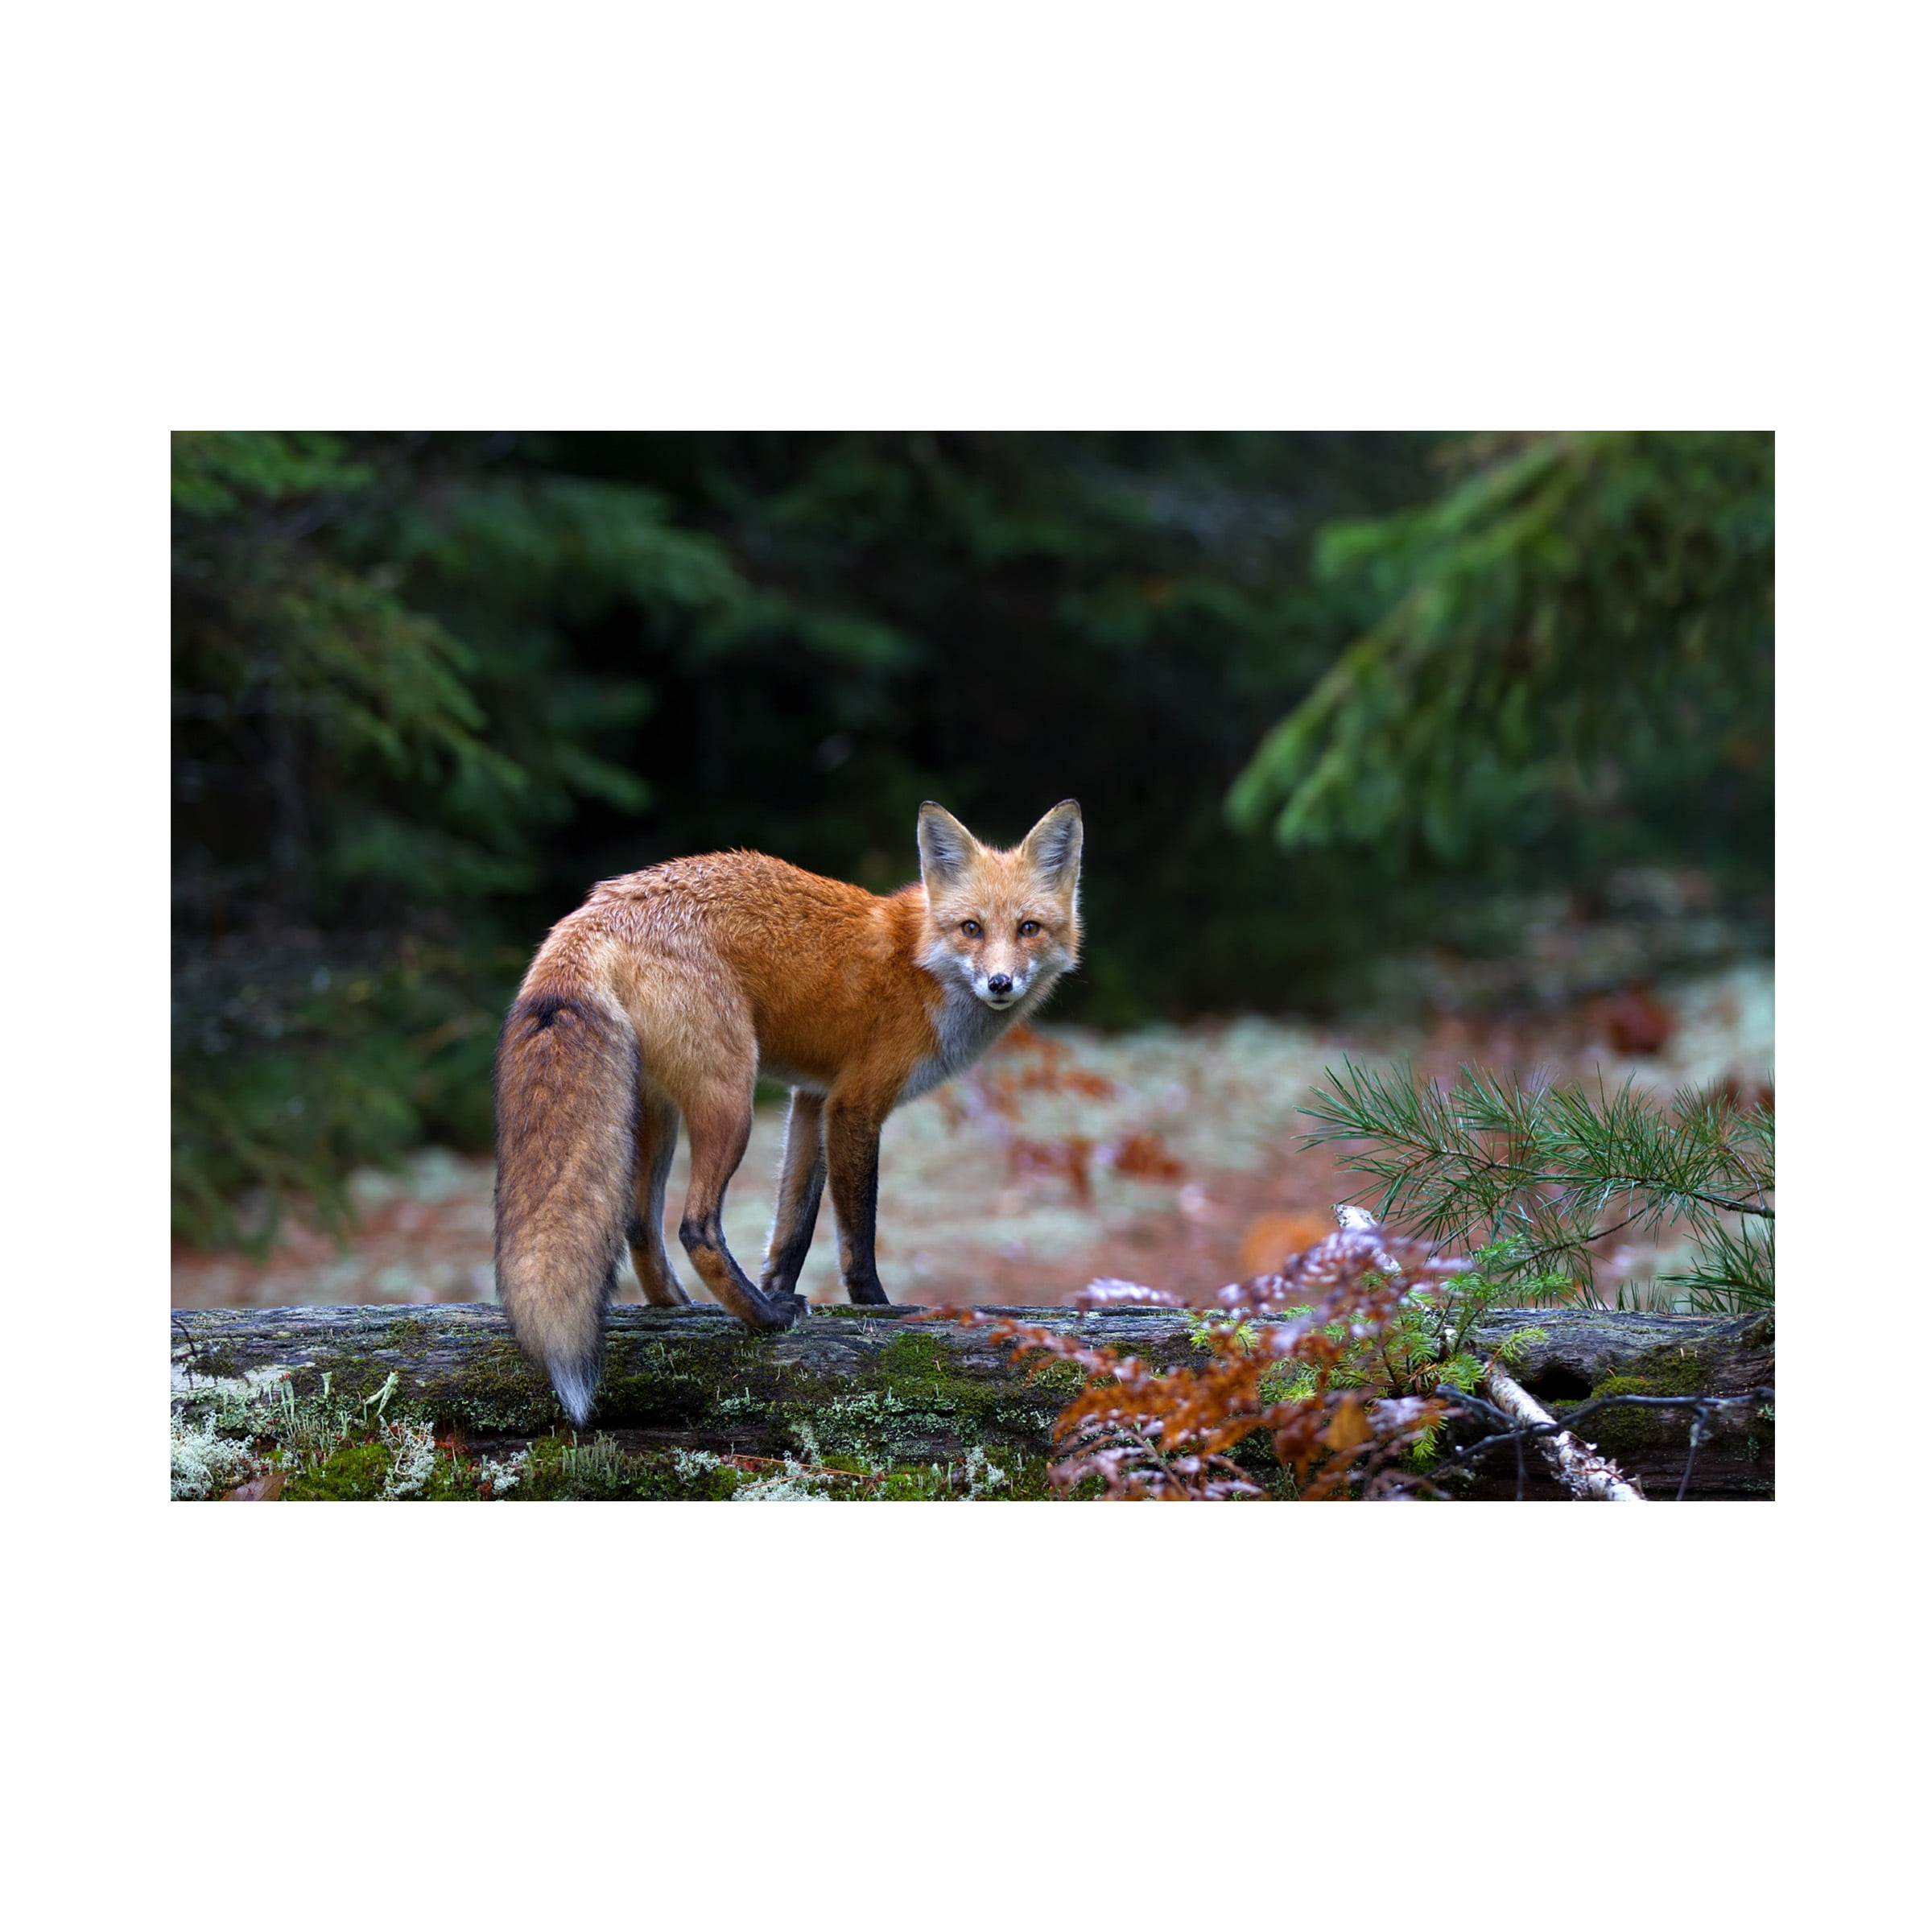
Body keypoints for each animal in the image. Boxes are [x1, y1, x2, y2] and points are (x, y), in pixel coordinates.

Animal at [492, 798, 1084, 1423]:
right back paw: (762, 1319)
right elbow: (857, 1235)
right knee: (694, 1226)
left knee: (639, 1226)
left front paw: (777, 1285)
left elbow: (792, 1228)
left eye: (1028, 929)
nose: (1000, 982)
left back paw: (685, 1309)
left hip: (659, 1112)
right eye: (972, 928)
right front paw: (876, 1308)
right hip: (731, 1100)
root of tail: (594, 910)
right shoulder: (853, 1106)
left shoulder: (812, 1100)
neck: (920, 963)